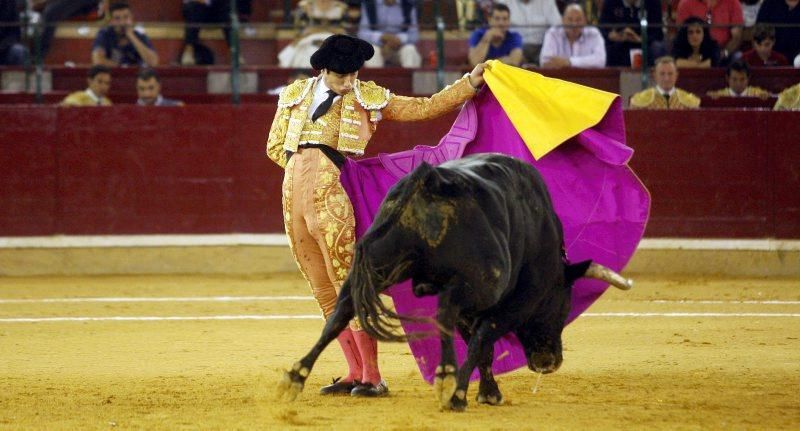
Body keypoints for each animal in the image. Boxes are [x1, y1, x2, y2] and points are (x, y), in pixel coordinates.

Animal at [276, 153, 632, 412]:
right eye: (564, 304)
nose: (549, 362)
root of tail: (429, 181)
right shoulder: (509, 303)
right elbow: (482, 341)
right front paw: (474, 392)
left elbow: (479, 345)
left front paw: (486, 392)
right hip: (474, 283)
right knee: (444, 314)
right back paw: (449, 384)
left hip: (372, 269)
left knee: (338, 315)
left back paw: (294, 378)